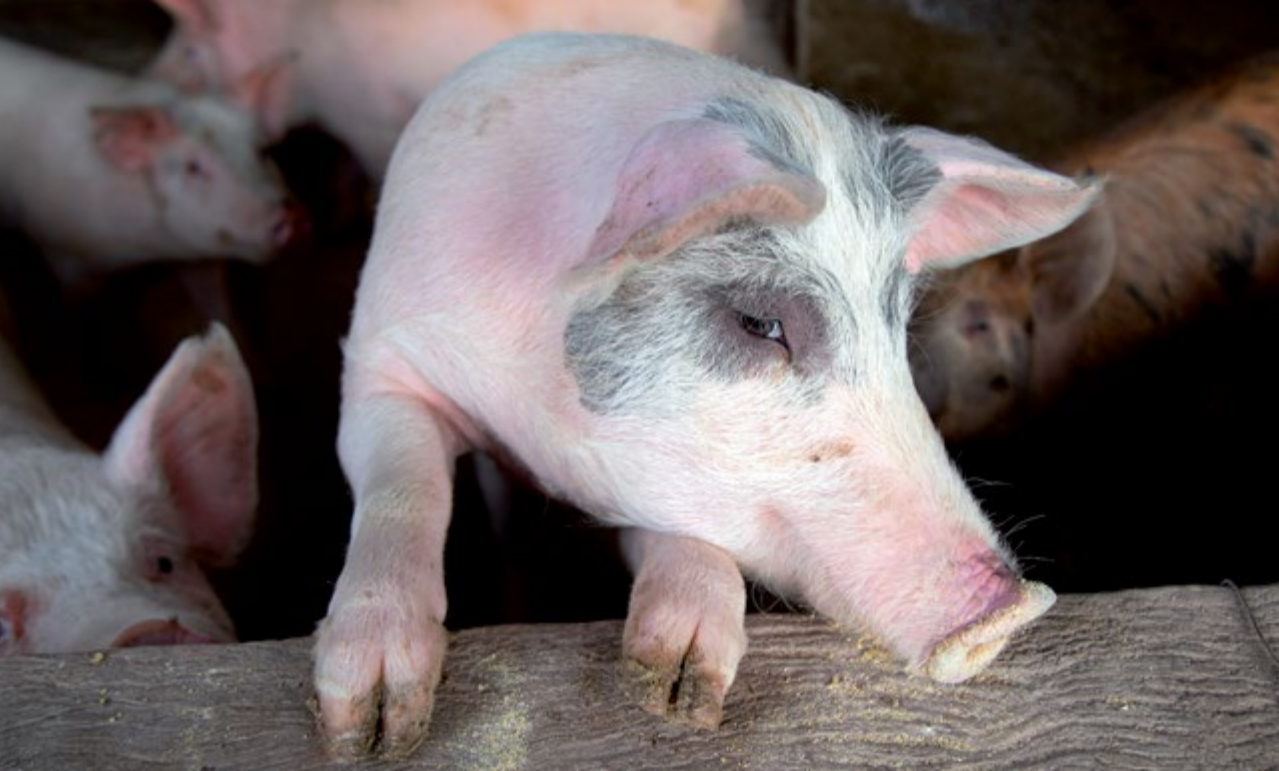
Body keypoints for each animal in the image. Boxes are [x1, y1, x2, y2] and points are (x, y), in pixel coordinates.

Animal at [312, 31, 1099, 762]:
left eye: (897, 323)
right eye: (759, 322)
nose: (1012, 608)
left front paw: (679, 687)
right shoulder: (379, 358)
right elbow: (403, 488)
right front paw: (367, 726)